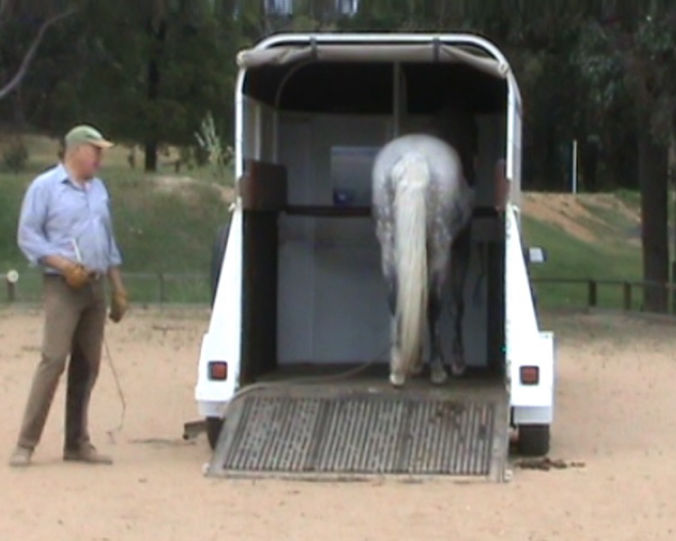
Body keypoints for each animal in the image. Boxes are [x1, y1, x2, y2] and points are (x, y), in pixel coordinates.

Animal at [372, 133, 474, 387]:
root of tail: (414, 158)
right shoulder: (461, 245)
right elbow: (456, 304)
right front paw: (458, 363)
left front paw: (414, 363)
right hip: (440, 246)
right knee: (435, 303)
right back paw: (438, 369)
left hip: (388, 244)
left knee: (396, 297)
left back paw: (398, 369)